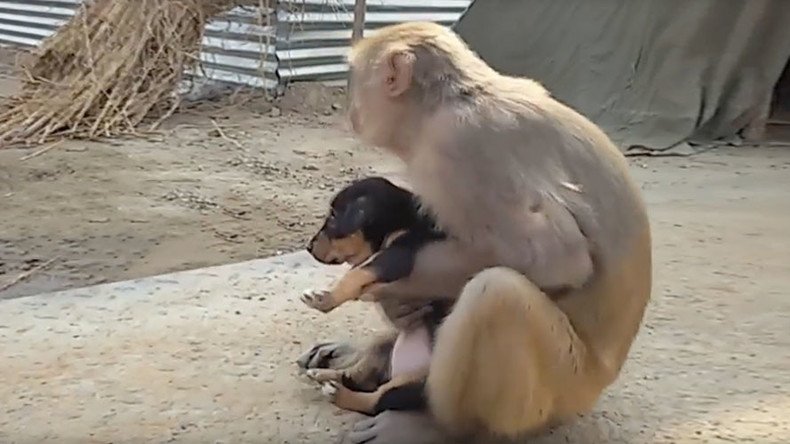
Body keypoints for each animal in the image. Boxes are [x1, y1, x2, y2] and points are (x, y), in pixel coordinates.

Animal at [298, 175, 458, 414]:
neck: (397, 218)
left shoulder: (398, 254)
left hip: (420, 382)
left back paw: (336, 392)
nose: (308, 247)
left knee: (375, 401)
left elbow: (357, 273)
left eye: (334, 216)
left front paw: (324, 299)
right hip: (382, 343)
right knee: (356, 378)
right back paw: (324, 374)